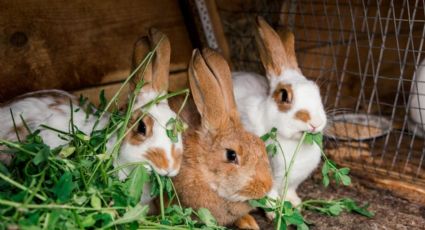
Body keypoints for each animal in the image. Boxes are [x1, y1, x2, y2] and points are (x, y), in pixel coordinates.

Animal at [230, 17, 326, 216]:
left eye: (316, 90)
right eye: (284, 95)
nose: (316, 123)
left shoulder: (293, 181)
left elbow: (289, 191)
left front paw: (295, 204)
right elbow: (269, 196)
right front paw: (275, 213)